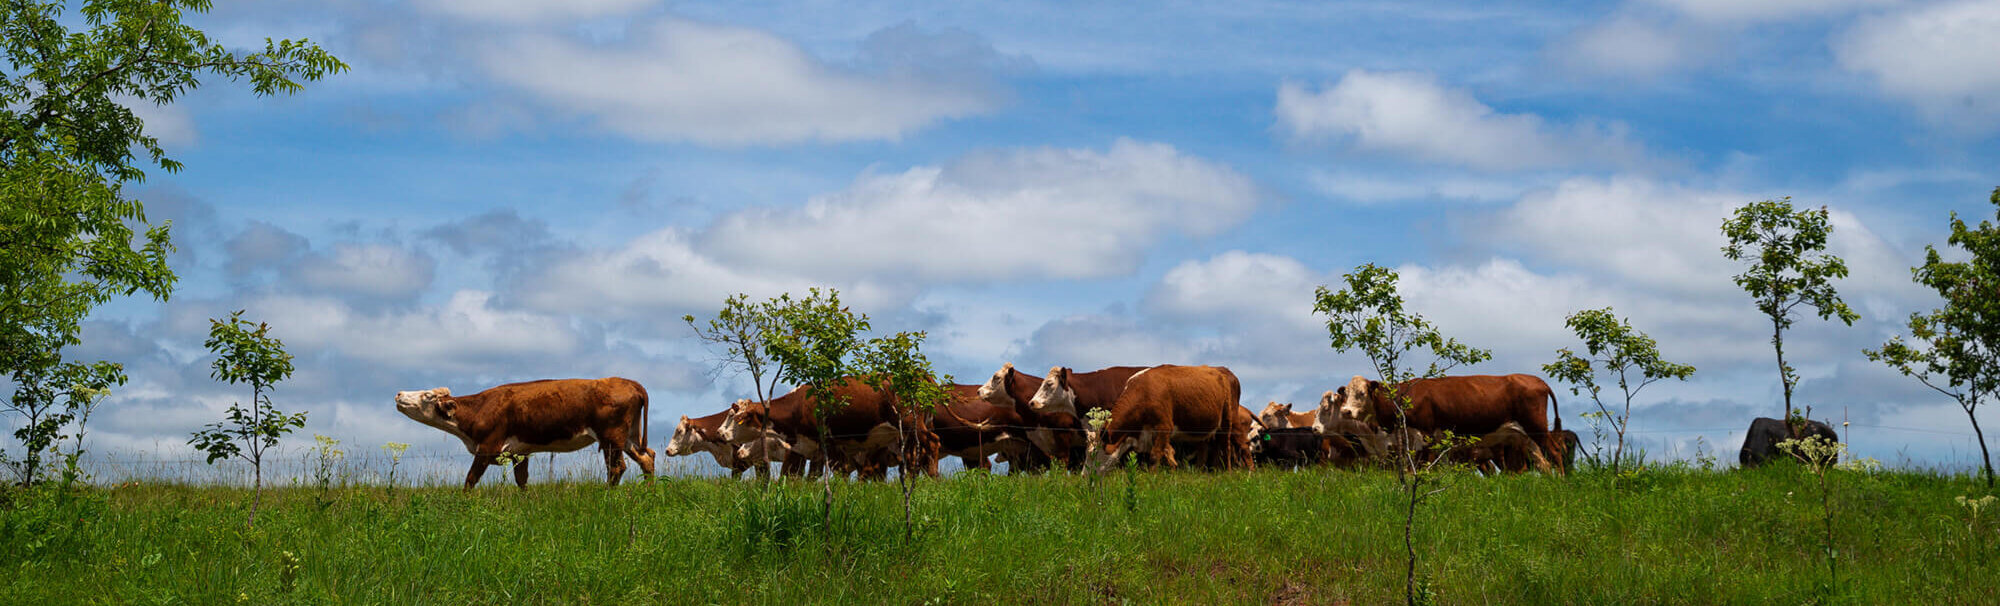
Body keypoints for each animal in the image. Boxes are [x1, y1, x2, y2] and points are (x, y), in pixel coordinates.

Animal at [396, 378, 656, 492]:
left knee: (617, 467)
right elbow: (522, 481)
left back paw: (607, 496)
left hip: (611, 437)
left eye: (428, 395)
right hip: (628, 437)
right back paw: (649, 491)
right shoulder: (519, 453)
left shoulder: (487, 448)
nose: (399, 393)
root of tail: (628, 382)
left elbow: (470, 479)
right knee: (647, 458)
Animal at [1088, 366, 1240, 476]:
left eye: (1093, 454)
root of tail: (1223, 370)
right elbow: (1169, 454)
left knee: (1226, 448)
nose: (1085, 476)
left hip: (1227, 422)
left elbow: (1155, 456)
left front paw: (1153, 479)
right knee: (1205, 449)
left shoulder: (1164, 426)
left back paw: (1227, 473)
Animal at [1320, 376, 1568, 476]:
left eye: (1362, 394)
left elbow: (1421, 466)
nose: (1346, 411)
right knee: (1543, 462)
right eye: (1346, 395)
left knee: (1555, 453)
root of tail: (1537, 380)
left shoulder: (1426, 435)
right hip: (1524, 435)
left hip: (1536, 427)